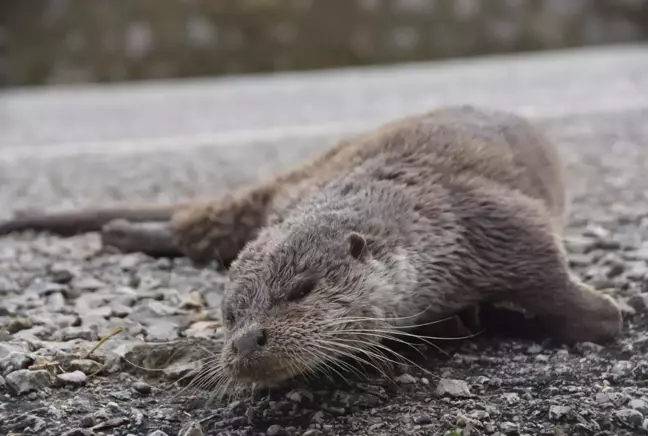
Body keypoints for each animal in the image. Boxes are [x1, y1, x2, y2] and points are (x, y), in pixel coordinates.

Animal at [2, 106, 624, 388]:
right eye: (230, 315)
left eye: (300, 291)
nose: (245, 341)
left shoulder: (492, 223)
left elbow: (567, 292)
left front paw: (608, 309)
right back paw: (122, 232)